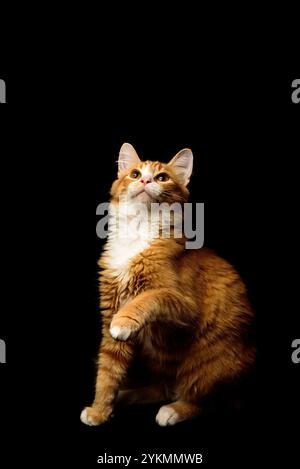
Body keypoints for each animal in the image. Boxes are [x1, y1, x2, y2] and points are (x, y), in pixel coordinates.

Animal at [80, 144, 255, 426]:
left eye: (162, 177)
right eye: (135, 173)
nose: (145, 180)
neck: (137, 232)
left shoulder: (184, 304)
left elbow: (150, 297)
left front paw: (125, 320)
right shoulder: (111, 308)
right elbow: (107, 372)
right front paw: (99, 411)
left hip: (210, 368)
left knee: (208, 401)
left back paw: (173, 410)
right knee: (161, 388)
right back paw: (128, 395)